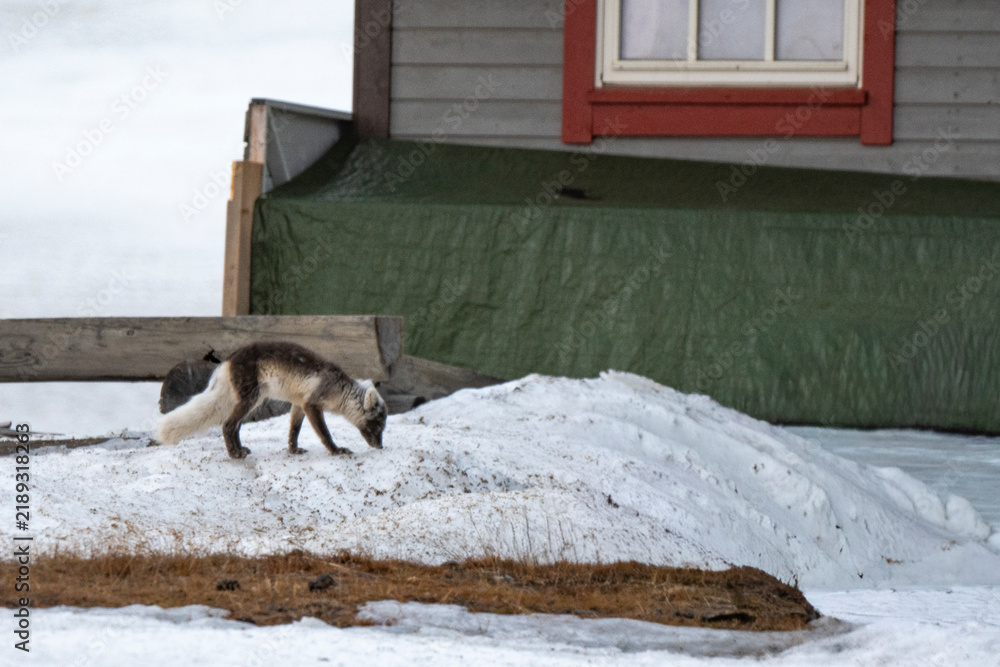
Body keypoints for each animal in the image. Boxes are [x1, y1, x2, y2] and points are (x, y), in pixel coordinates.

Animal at [155, 341, 387, 459]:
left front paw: (293, 450)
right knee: (228, 425)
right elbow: (325, 433)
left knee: (235, 426)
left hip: (252, 401)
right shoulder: (312, 404)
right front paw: (336, 451)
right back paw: (235, 454)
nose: (381, 447)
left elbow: (294, 430)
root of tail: (228, 360)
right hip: (250, 399)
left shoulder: (299, 404)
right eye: (377, 425)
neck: (340, 391)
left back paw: (241, 449)